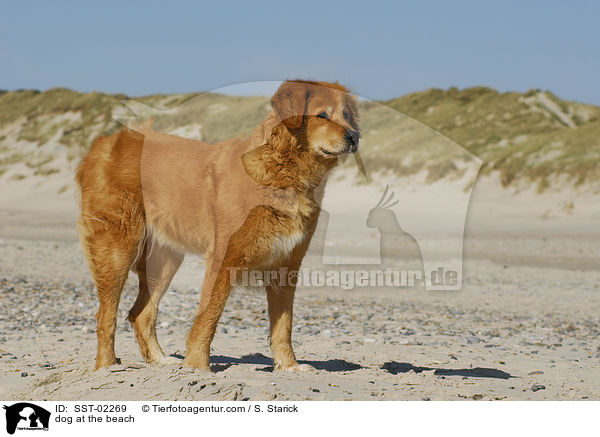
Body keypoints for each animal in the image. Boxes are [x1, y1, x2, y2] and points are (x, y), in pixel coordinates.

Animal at [75, 80, 358, 370]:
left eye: (347, 115)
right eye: (322, 115)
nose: (354, 137)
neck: (283, 169)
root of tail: (103, 144)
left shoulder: (286, 264)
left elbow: (284, 326)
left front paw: (290, 367)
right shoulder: (224, 256)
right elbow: (209, 315)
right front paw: (198, 365)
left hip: (164, 260)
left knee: (141, 314)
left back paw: (161, 361)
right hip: (118, 248)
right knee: (106, 315)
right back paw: (107, 366)